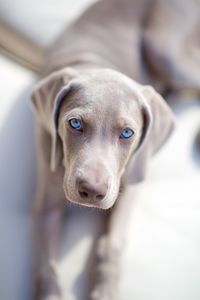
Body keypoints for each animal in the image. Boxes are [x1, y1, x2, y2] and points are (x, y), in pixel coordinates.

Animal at [30, 0, 200, 298]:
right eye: (74, 123)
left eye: (127, 133)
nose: (91, 191)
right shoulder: (46, 200)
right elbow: (46, 265)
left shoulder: (131, 180)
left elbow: (112, 244)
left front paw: (105, 290)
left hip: (164, 47)